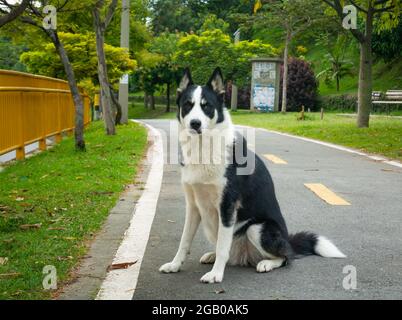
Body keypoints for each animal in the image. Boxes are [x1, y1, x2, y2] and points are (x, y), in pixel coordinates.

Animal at [159, 67, 344, 282]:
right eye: (188, 105)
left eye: (207, 106)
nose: (195, 123)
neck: (203, 147)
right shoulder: (193, 205)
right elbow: (184, 241)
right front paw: (175, 265)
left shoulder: (227, 205)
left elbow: (222, 247)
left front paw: (216, 274)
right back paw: (212, 255)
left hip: (257, 228)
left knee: (285, 257)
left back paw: (266, 263)